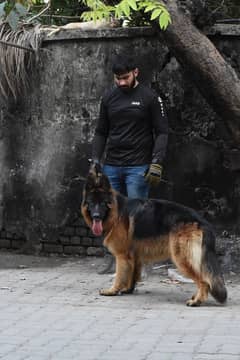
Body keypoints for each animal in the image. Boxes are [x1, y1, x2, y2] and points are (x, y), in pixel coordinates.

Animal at [82, 164, 227, 306]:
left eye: (102, 203)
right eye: (91, 203)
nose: (96, 216)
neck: (117, 212)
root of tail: (203, 222)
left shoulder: (122, 256)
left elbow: (120, 276)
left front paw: (113, 291)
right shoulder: (134, 256)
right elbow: (132, 275)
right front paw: (128, 289)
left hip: (182, 258)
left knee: (205, 281)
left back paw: (197, 301)